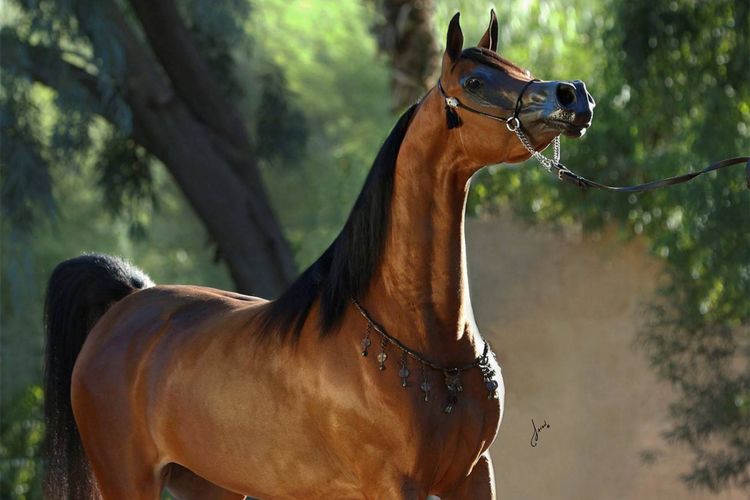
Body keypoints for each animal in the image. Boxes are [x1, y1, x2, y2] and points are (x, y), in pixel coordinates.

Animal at [45, 11, 600, 500]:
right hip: (127, 479)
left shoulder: (474, 475)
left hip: (211, 486)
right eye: (476, 82)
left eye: (520, 69)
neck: (426, 340)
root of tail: (127, 304)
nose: (572, 95)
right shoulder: (392, 484)